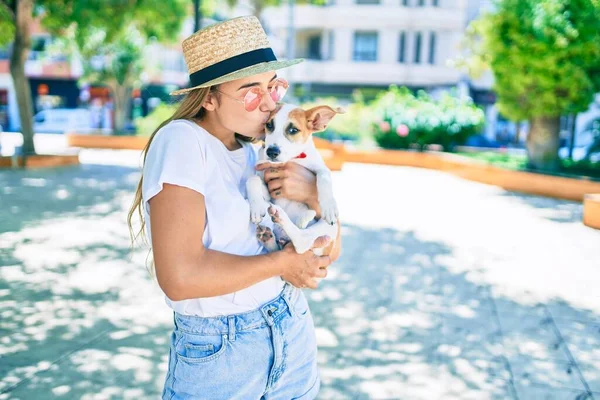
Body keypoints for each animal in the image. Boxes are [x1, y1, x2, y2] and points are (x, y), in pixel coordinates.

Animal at [246, 104, 344, 256]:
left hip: (330, 228)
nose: (271, 151)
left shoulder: (319, 166)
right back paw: (268, 236)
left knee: (302, 241)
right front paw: (256, 206)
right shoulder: (265, 180)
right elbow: (253, 178)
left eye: (293, 130)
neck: (292, 158)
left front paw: (329, 206)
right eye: (269, 125)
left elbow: (324, 176)